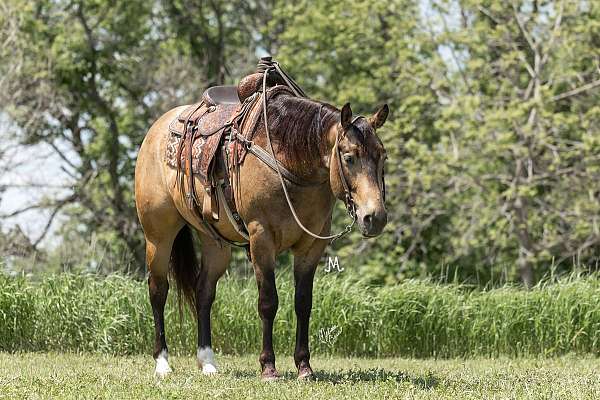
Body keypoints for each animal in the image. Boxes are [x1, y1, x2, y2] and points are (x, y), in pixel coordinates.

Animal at [134, 57, 390, 380]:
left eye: (383, 156)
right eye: (349, 157)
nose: (374, 217)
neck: (290, 162)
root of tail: (155, 132)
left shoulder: (311, 246)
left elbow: (303, 303)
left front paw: (304, 366)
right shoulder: (261, 239)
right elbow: (268, 301)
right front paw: (268, 366)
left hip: (215, 243)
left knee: (204, 293)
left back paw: (208, 362)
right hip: (158, 234)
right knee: (158, 290)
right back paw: (163, 363)